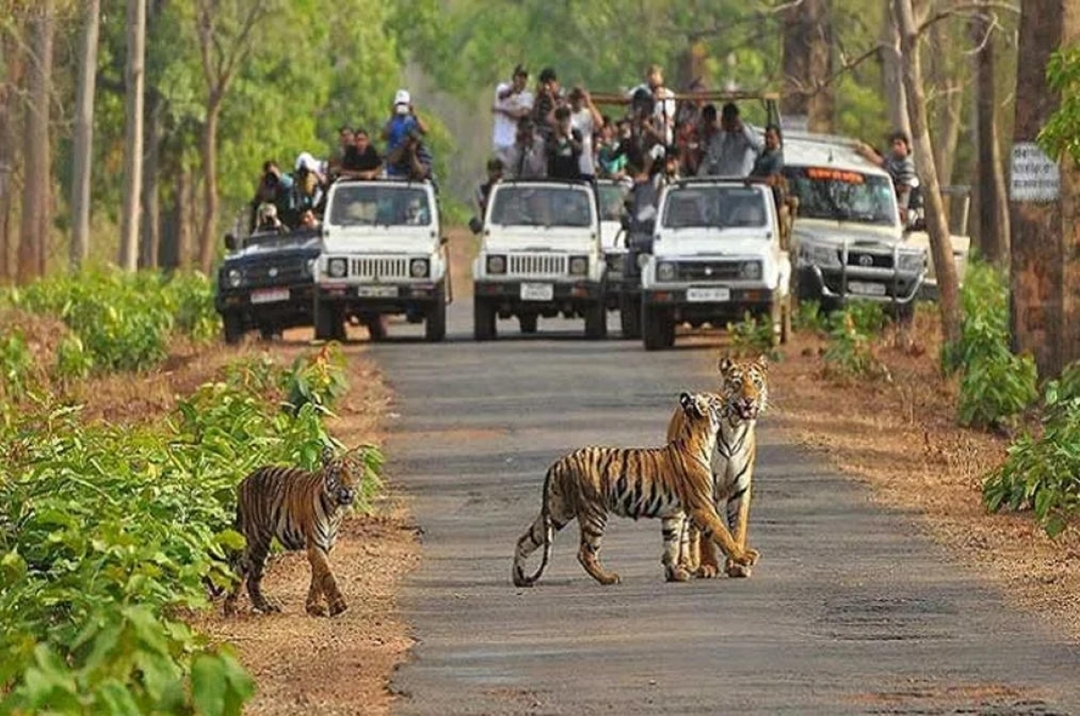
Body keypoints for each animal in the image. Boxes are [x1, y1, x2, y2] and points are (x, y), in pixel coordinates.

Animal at [223, 445, 363, 617]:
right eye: (337, 473)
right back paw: (234, 608)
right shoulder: (315, 545)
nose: (348, 489)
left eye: (354, 472)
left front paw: (313, 607)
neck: (335, 508)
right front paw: (338, 606)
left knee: (248, 575)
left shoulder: (325, 545)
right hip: (256, 539)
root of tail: (244, 481)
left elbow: (317, 577)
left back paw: (260, 607)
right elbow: (327, 575)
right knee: (245, 572)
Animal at [512, 391, 759, 587]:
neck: (700, 437)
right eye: (716, 400)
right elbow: (723, 533)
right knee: (586, 553)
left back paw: (519, 578)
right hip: (594, 511)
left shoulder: (673, 514)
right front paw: (745, 557)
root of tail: (560, 462)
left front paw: (675, 574)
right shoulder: (703, 507)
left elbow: (671, 544)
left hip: (557, 510)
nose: (730, 402)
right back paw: (608, 578)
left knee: (525, 539)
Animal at [667, 354, 768, 580]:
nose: (749, 400)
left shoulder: (741, 489)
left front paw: (737, 565)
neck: (735, 428)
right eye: (737, 383)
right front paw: (708, 566)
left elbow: (737, 528)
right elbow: (709, 534)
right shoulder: (705, 489)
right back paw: (686, 564)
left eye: (756, 382)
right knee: (686, 529)